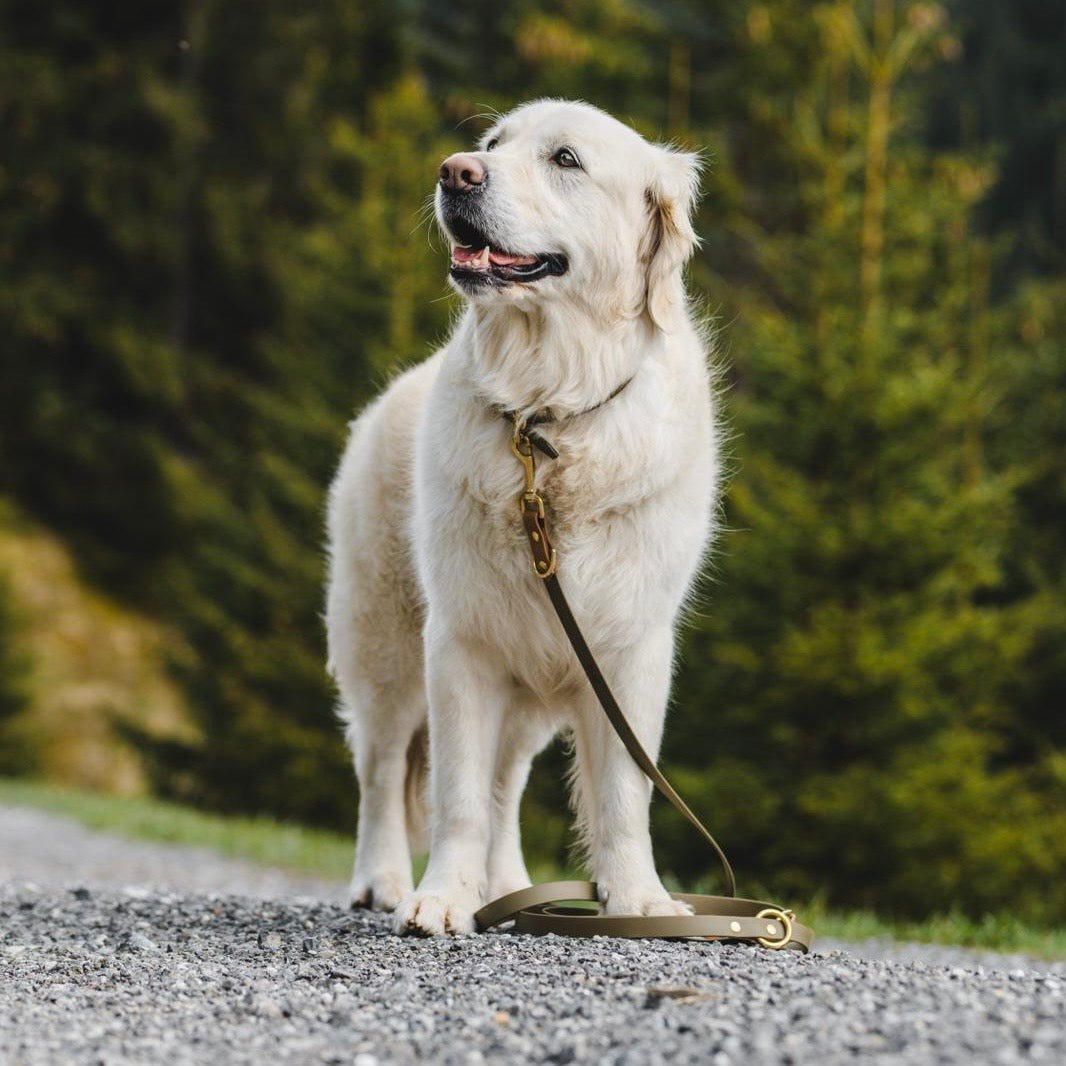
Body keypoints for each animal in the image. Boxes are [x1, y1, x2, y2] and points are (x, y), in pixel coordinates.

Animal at [326, 100, 716, 933]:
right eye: (492, 145)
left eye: (565, 159)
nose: (455, 172)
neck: (547, 417)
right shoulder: (460, 644)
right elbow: (457, 796)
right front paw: (441, 898)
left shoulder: (629, 652)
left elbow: (623, 795)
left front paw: (639, 899)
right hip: (383, 648)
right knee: (382, 773)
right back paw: (383, 881)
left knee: (505, 786)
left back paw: (504, 887)